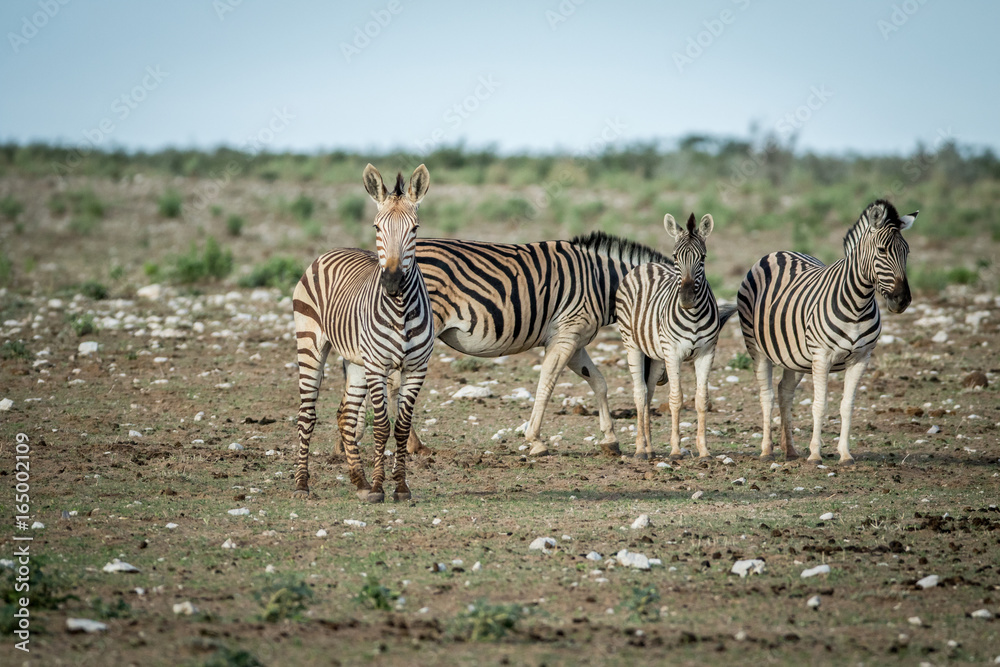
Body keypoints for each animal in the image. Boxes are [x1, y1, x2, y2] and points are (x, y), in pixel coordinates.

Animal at [292, 164, 434, 501]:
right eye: (376, 227)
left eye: (415, 229)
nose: (392, 282)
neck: (400, 310)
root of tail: (331, 250)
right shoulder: (378, 366)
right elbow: (382, 425)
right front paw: (380, 486)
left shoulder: (416, 368)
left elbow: (401, 427)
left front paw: (400, 487)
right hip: (310, 346)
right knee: (307, 414)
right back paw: (302, 484)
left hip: (356, 361)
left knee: (346, 415)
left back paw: (359, 481)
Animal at [616, 213, 737, 460]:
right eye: (675, 256)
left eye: (703, 257)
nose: (687, 299)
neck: (693, 316)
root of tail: (646, 265)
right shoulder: (673, 353)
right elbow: (676, 399)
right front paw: (675, 450)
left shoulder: (707, 353)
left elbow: (701, 400)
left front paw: (704, 450)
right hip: (632, 343)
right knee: (640, 393)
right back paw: (640, 449)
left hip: (655, 355)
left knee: (649, 392)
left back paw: (650, 448)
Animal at [736, 199, 917, 465]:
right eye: (882, 251)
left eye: (907, 252)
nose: (901, 300)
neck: (858, 303)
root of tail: (779, 252)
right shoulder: (822, 356)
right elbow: (820, 405)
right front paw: (815, 454)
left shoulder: (861, 358)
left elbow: (847, 406)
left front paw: (845, 454)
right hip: (757, 348)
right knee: (766, 395)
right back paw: (767, 450)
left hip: (796, 356)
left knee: (784, 392)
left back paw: (790, 450)